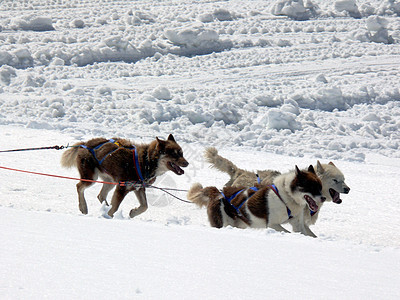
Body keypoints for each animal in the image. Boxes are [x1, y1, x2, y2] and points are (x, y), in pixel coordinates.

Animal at [61, 135, 189, 217]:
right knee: (79, 186)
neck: (146, 161)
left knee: (101, 196)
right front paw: (109, 216)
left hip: (110, 182)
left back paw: (104, 208)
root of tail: (85, 144)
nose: (187, 163)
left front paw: (133, 212)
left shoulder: (138, 188)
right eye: (174, 154)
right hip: (91, 178)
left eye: (181, 153)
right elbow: (115, 207)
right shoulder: (122, 188)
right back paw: (84, 207)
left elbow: (144, 206)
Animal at [188, 164, 324, 237]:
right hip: (224, 223)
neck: (286, 196)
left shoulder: (298, 224)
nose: (323, 198)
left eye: (320, 187)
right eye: (312, 188)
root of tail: (217, 193)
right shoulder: (273, 224)